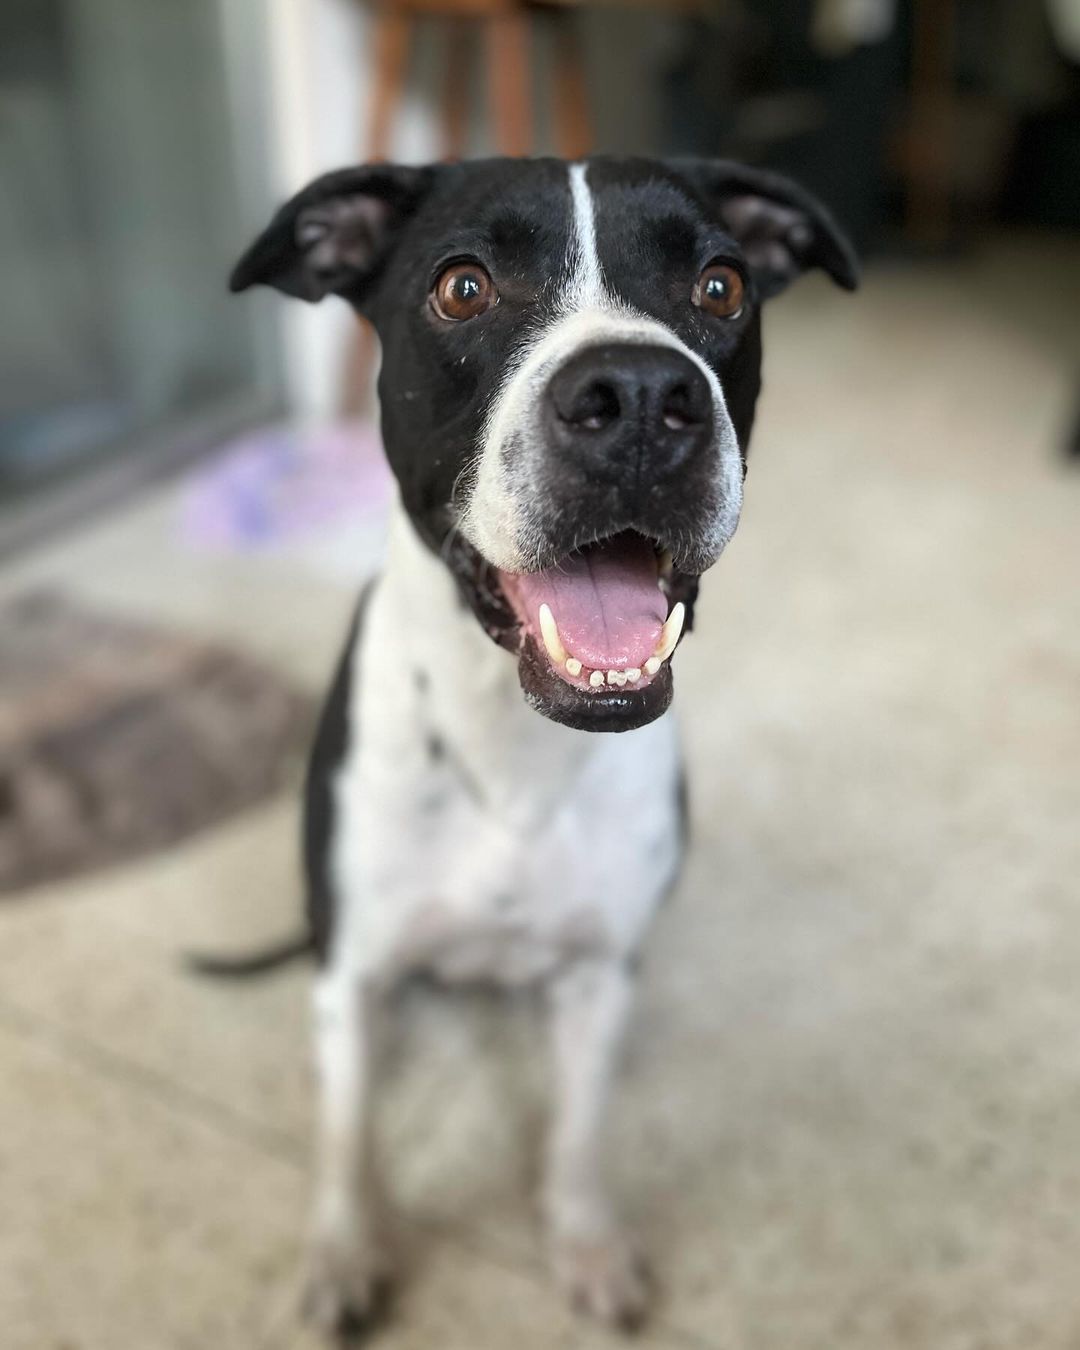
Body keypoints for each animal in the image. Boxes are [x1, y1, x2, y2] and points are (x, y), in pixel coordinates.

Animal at [232, 153, 858, 1333]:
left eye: (720, 287)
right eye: (463, 287)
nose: (643, 398)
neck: (507, 745)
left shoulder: (594, 975)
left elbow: (576, 1131)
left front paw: (587, 1244)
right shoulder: (356, 972)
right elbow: (348, 1137)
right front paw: (342, 1253)